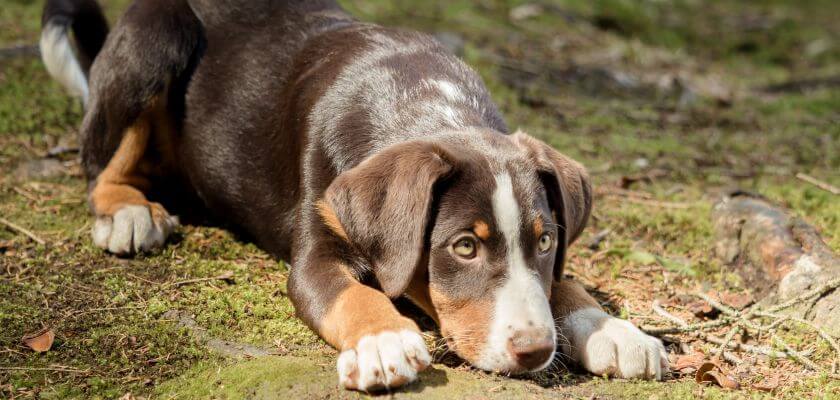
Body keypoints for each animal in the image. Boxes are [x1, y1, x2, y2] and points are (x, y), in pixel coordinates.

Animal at [42, 0, 668, 392]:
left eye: (545, 242)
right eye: (464, 247)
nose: (535, 351)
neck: (425, 103)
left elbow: (563, 280)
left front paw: (612, 329)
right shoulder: (316, 252)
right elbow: (354, 295)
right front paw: (385, 341)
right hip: (156, 42)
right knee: (98, 158)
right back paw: (127, 211)